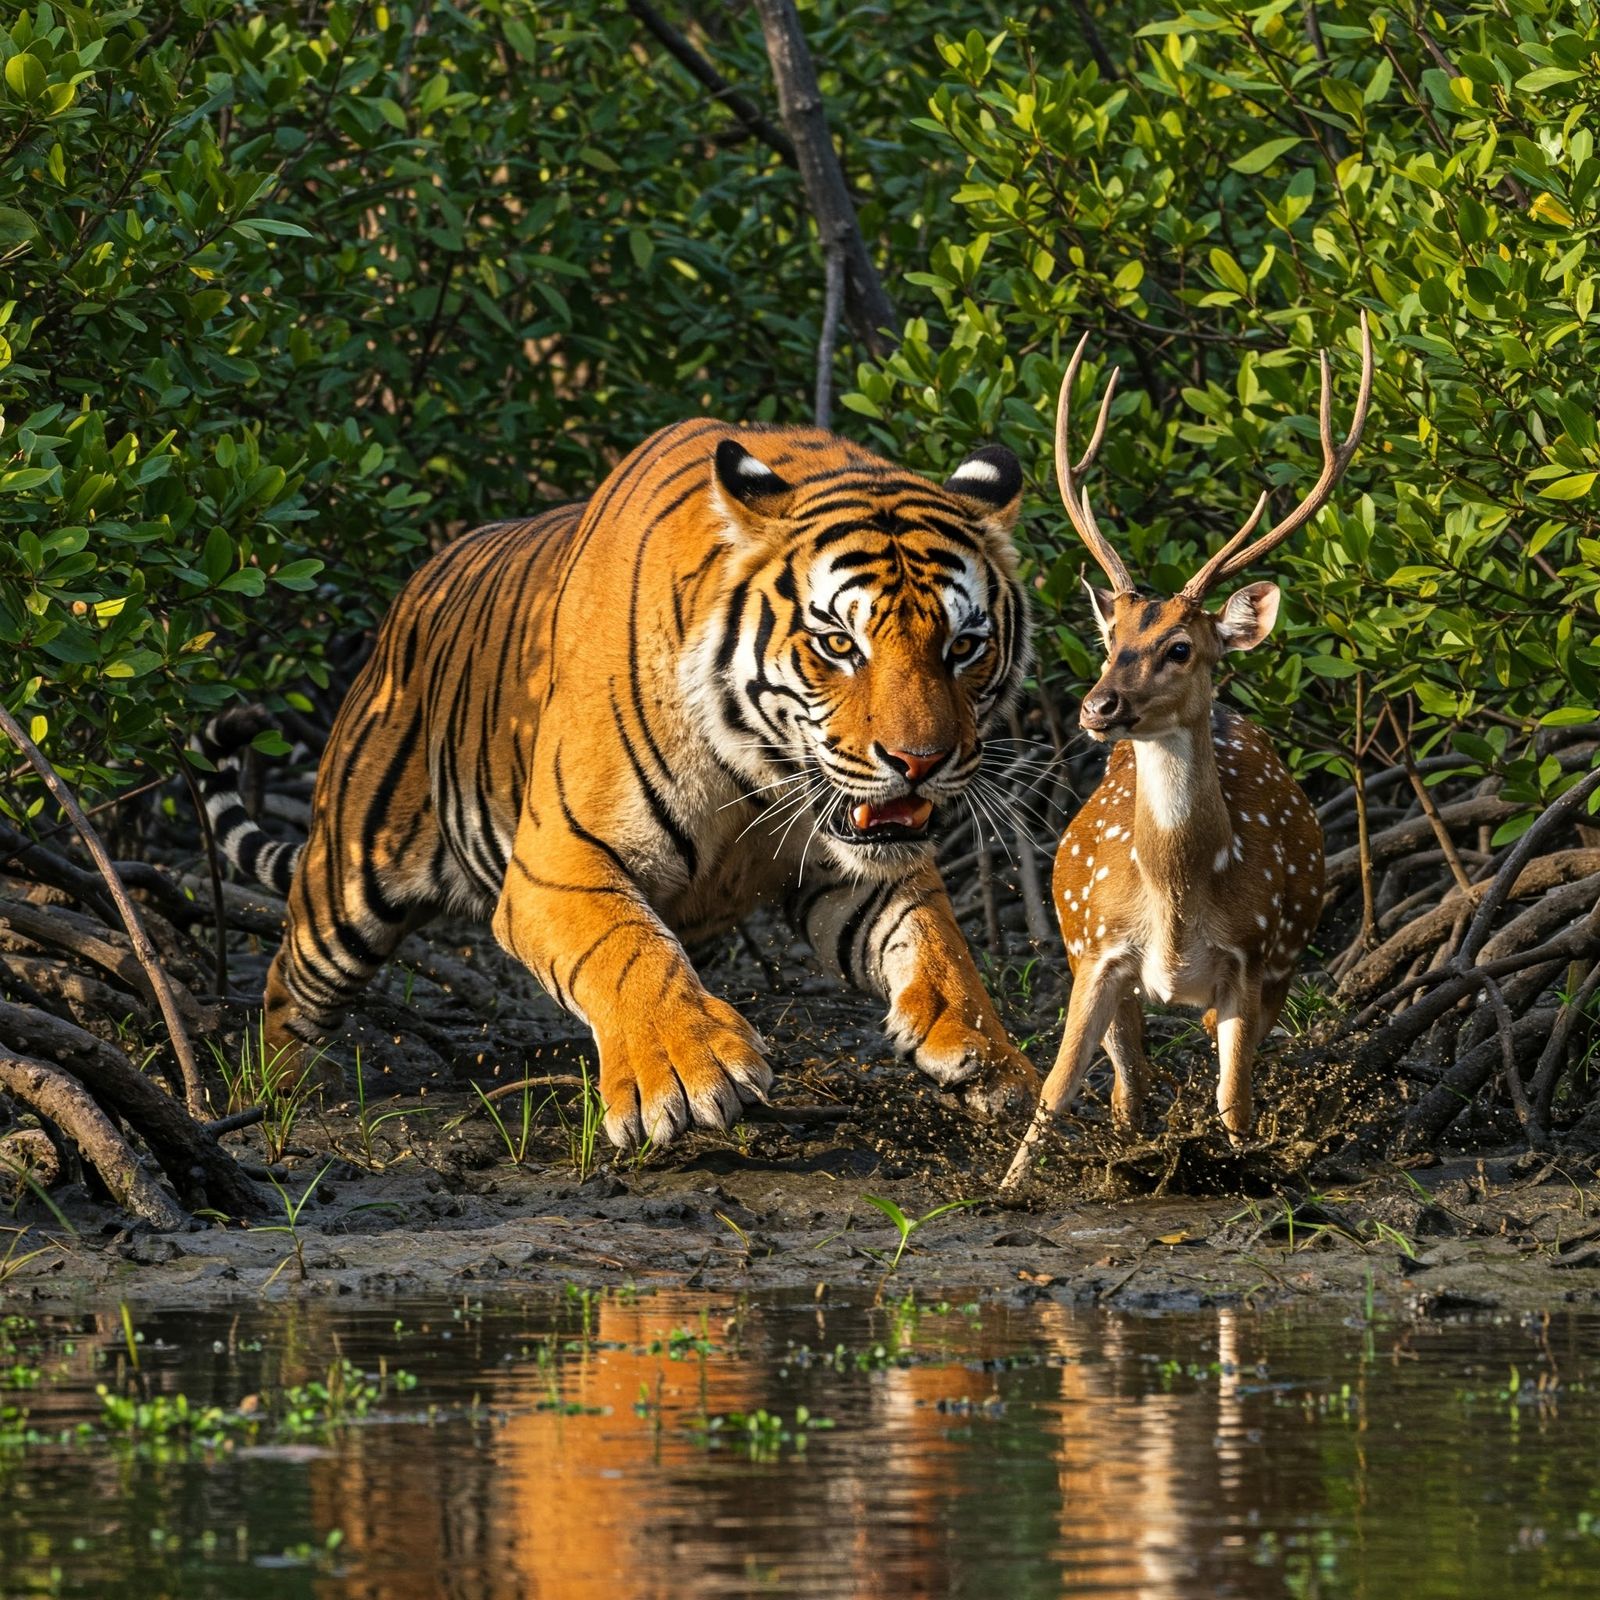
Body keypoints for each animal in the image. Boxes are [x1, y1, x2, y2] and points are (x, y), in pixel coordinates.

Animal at [201, 419, 1040, 1149]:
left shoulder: (851, 866)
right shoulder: (555, 862)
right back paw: (277, 1098)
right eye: (839, 644)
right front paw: (687, 1070)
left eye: (964, 646)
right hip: (344, 883)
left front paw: (989, 1057)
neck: (758, 766)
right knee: (289, 988)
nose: (919, 760)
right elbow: (626, 949)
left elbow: (935, 937)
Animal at [1001, 315, 1374, 1190]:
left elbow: (1235, 1106)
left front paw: (1254, 1179)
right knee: (1127, 1088)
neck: (1177, 896)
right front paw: (1005, 1188)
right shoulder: (1097, 950)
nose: (1097, 706)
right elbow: (1056, 1089)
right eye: (1110, 638)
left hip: (1285, 958)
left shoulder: (1254, 957)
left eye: (1180, 648)